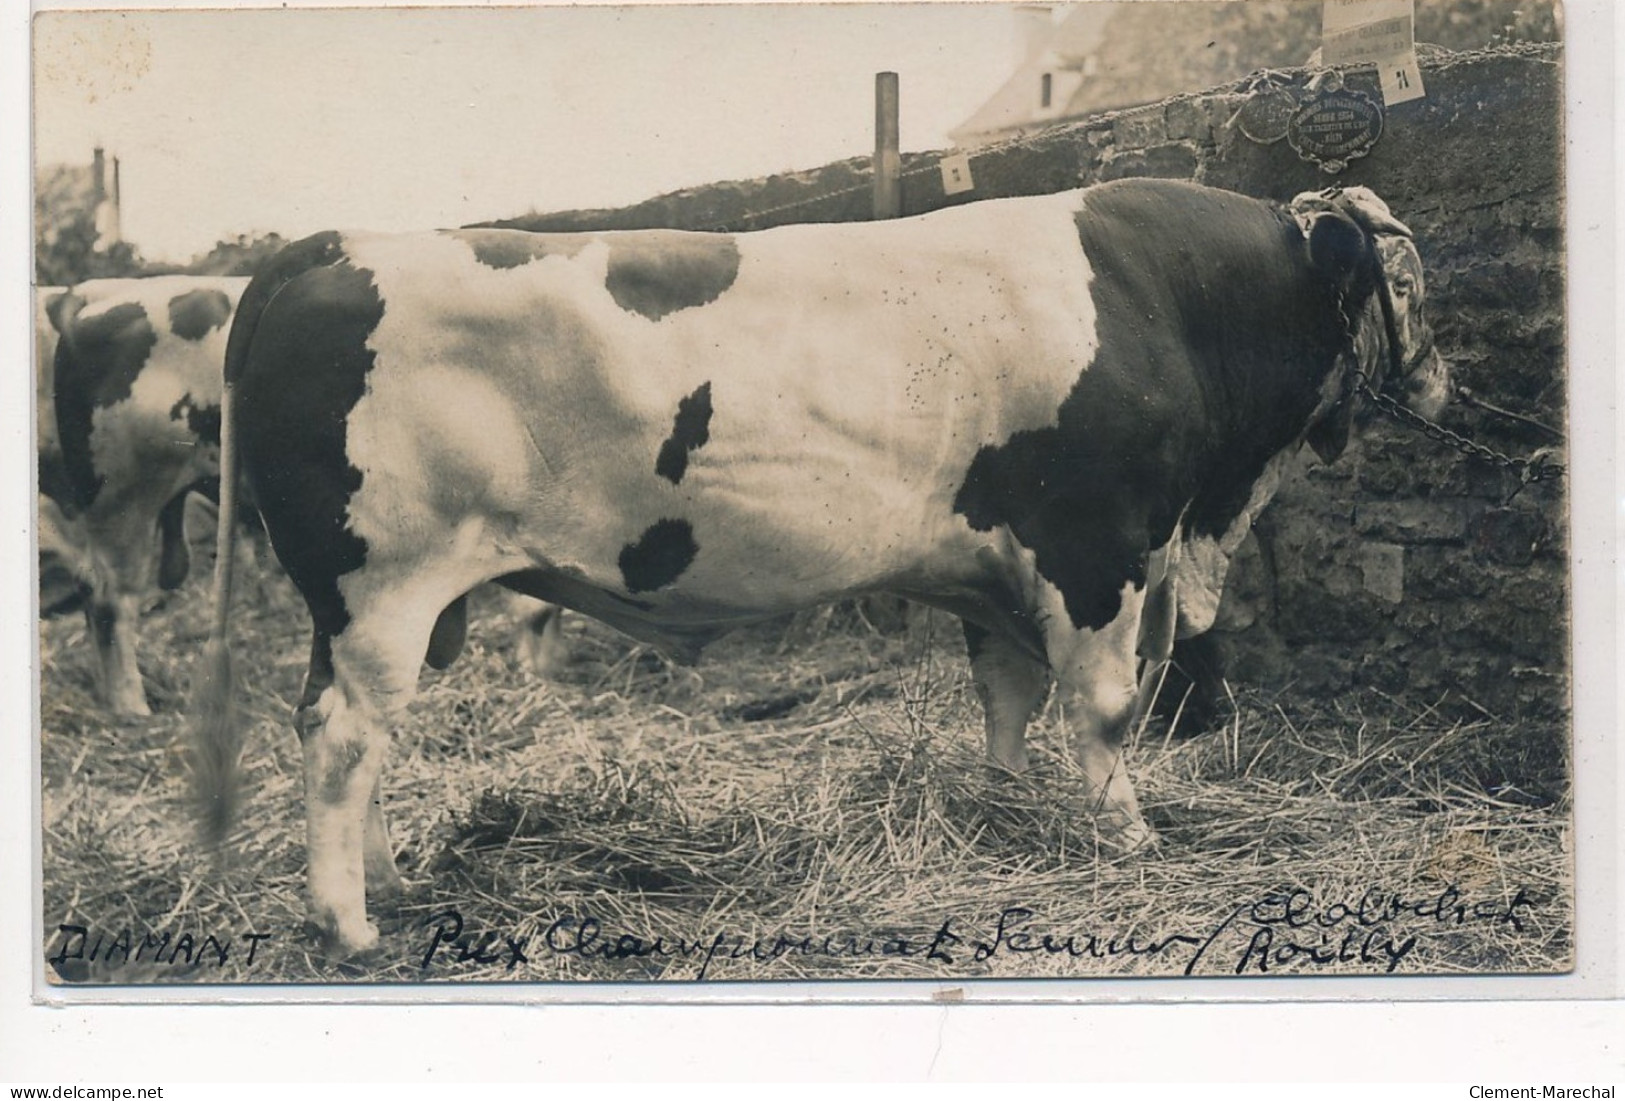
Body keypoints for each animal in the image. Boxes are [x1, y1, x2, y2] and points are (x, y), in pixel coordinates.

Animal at [190, 178, 1449, 954]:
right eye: (1408, 285)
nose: (1440, 379)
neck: (1155, 299)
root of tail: (340, 246)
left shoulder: (995, 567)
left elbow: (1005, 695)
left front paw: (1002, 805)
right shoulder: (1095, 548)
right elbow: (1097, 706)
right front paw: (1126, 837)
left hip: (369, 608)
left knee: (354, 736)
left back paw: (392, 883)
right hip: (383, 586)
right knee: (342, 738)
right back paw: (348, 923)